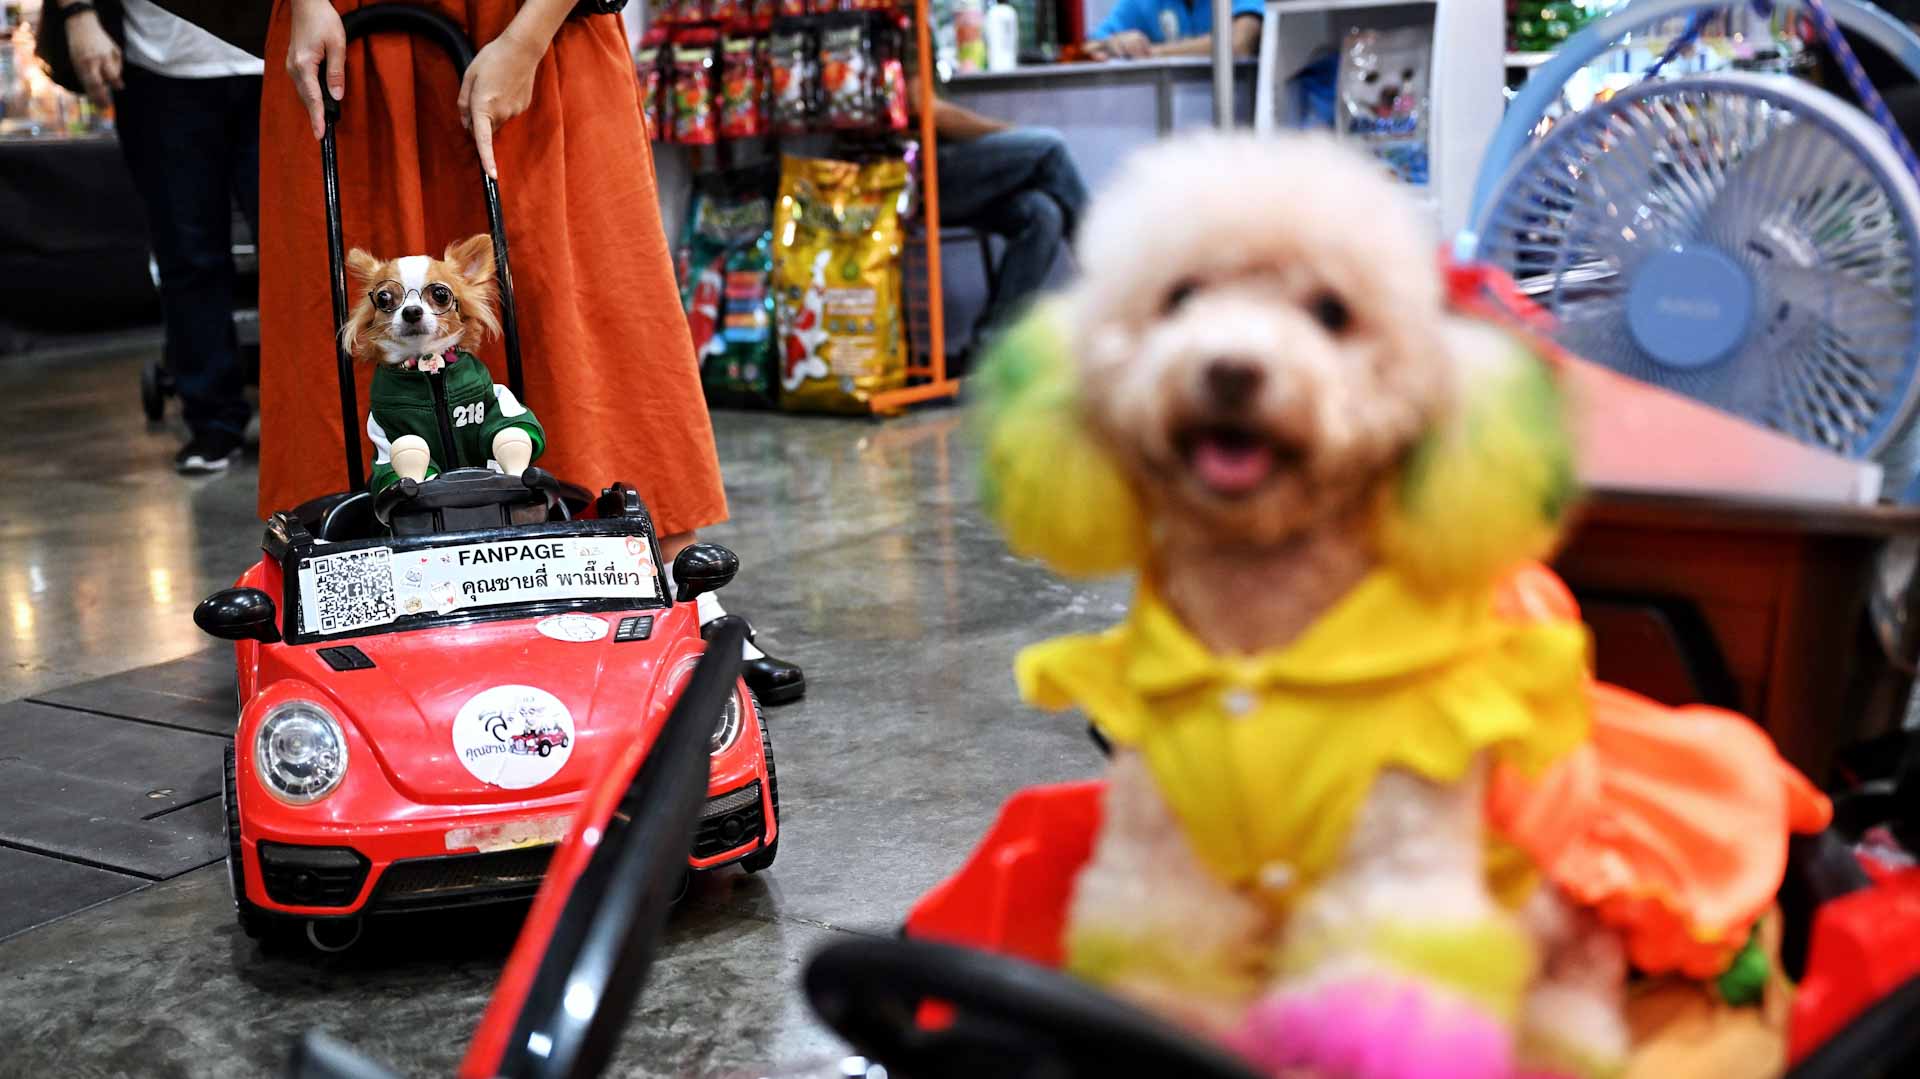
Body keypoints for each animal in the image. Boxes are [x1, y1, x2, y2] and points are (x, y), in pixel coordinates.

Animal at [339, 233, 541, 495]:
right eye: (383, 298)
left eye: (440, 295)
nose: (411, 311)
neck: (428, 365)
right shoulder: (388, 431)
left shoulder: (495, 400)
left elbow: (508, 427)